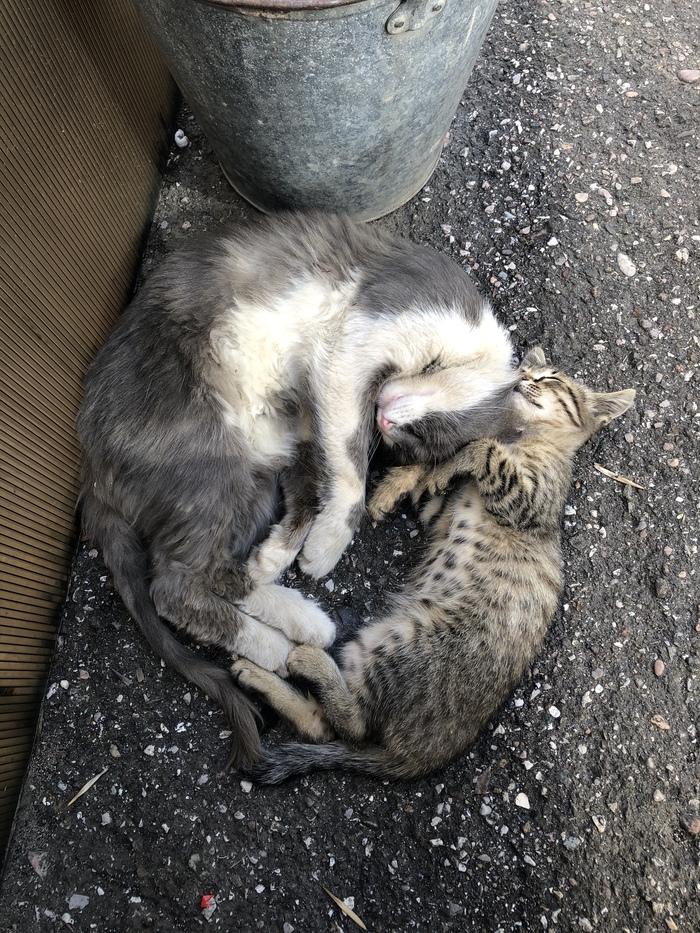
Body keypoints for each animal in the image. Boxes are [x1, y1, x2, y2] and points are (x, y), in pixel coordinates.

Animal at [77, 211, 520, 769]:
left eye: (415, 439)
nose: (388, 417)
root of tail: (92, 466)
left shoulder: (310, 410)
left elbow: (316, 483)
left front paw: (291, 551)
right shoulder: (352, 348)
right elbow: (349, 468)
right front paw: (330, 543)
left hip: (256, 466)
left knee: (209, 572)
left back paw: (293, 617)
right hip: (212, 452)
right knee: (174, 585)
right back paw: (281, 643)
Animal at [232, 348, 635, 781]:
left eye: (549, 379)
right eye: (528, 369)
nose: (523, 378)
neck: (524, 437)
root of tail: (419, 759)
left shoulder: (529, 502)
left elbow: (482, 447)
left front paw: (444, 462)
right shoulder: (439, 512)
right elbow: (442, 472)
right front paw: (403, 483)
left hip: (402, 646)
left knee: (352, 724)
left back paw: (306, 661)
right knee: (322, 724)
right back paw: (256, 674)